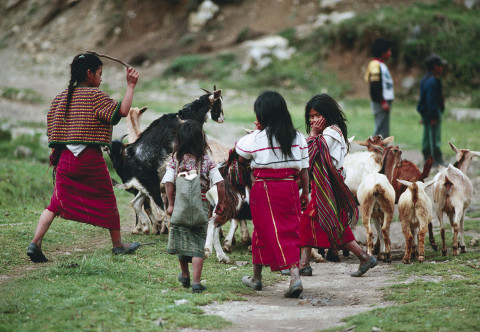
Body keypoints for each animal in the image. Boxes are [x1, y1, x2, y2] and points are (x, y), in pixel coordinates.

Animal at [107, 88, 223, 233]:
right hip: (153, 186)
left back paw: (147, 227)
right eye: (218, 104)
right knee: (162, 211)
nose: (222, 119)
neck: (186, 117)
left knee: (136, 204)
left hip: (143, 188)